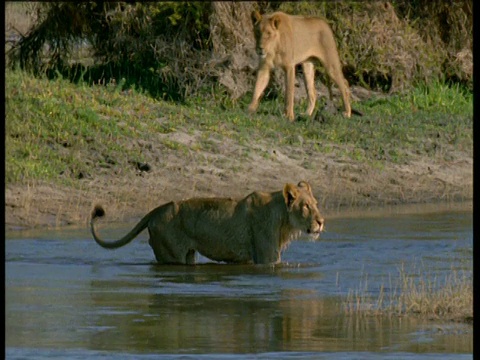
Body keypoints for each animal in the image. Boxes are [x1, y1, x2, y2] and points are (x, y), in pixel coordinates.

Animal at [89, 183, 324, 264]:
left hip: (188, 255)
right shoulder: (267, 258)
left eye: (316, 204)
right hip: (171, 255)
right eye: (305, 206)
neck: (284, 221)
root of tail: (158, 209)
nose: (321, 222)